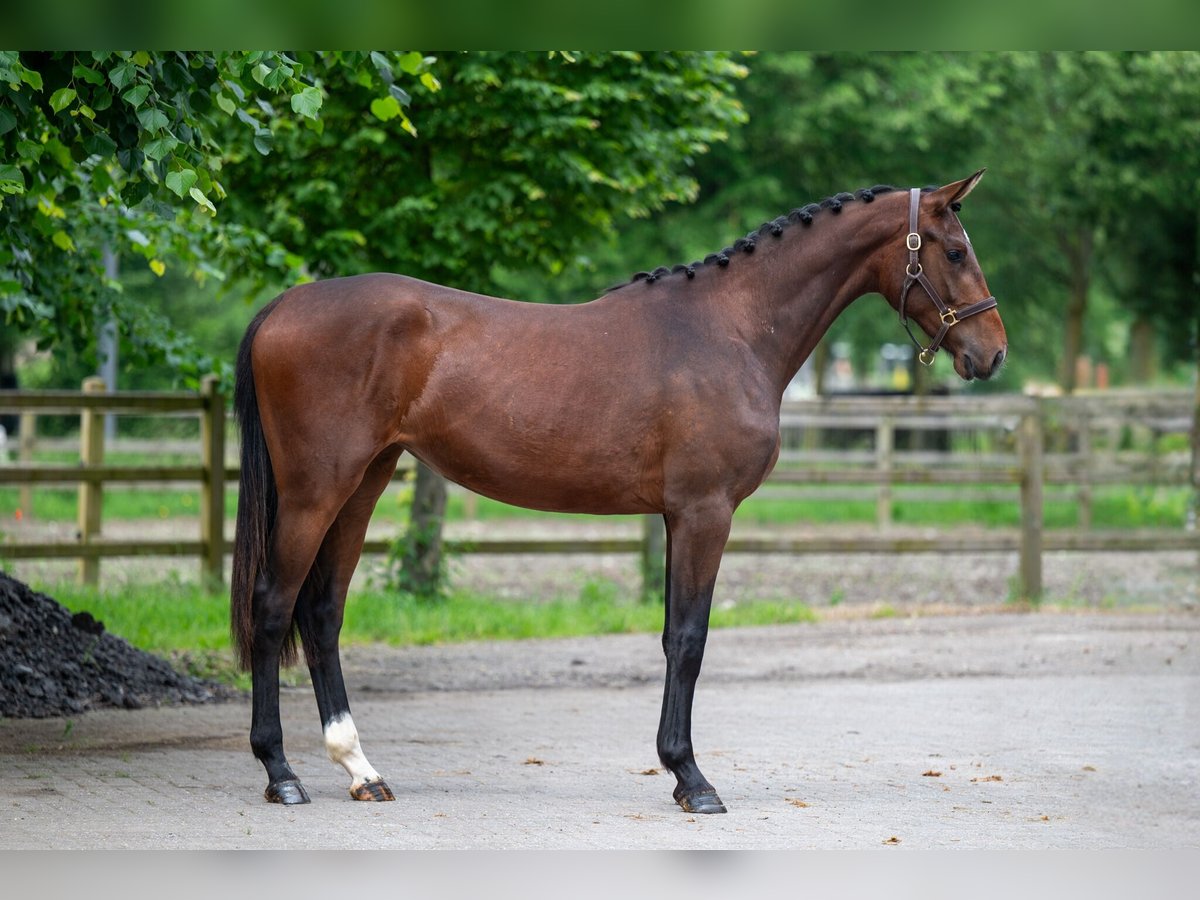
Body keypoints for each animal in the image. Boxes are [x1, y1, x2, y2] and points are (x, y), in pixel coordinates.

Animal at [229, 170, 1008, 816]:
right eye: (954, 251)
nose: (993, 353)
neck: (730, 329)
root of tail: (284, 305)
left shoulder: (674, 516)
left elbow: (670, 635)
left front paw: (678, 771)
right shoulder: (704, 513)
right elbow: (690, 639)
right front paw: (692, 779)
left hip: (364, 482)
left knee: (322, 613)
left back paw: (361, 770)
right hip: (316, 491)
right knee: (272, 608)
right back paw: (282, 774)